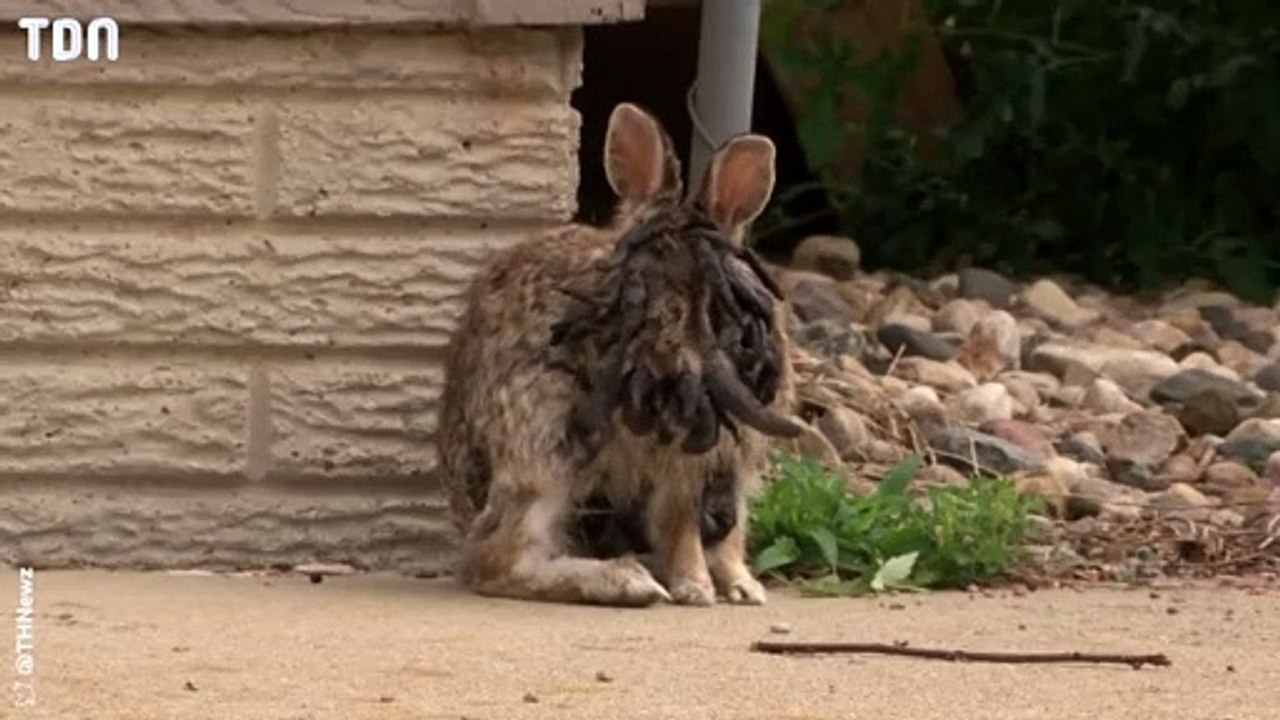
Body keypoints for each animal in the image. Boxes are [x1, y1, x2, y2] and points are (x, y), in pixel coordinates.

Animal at [437, 102, 801, 607]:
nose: (664, 352)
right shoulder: (679, 460)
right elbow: (680, 521)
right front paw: (695, 588)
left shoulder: (734, 462)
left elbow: (732, 531)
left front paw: (743, 587)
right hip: (545, 444)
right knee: (496, 559)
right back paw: (626, 581)